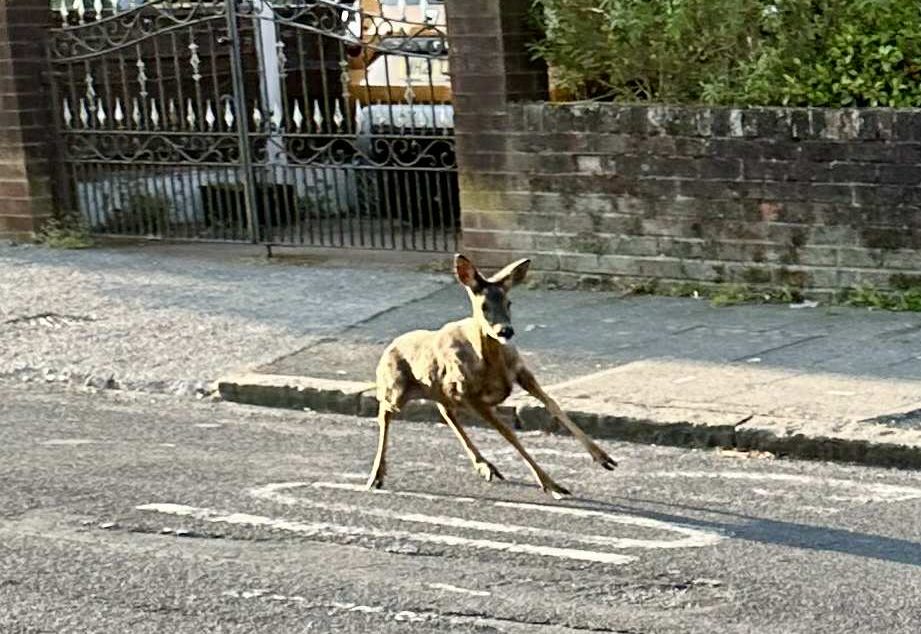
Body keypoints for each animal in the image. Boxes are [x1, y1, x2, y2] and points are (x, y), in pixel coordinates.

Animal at [366, 254, 617, 498]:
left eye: (509, 302)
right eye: (484, 305)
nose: (505, 330)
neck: (492, 365)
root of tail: (390, 347)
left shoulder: (521, 371)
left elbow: (553, 404)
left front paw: (603, 457)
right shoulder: (471, 394)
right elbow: (509, 434)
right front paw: (551, 484)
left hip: (439, 388)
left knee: (444, 411)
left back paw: (486, 467)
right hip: (398, 388)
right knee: (385, 411)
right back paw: (375, 476)